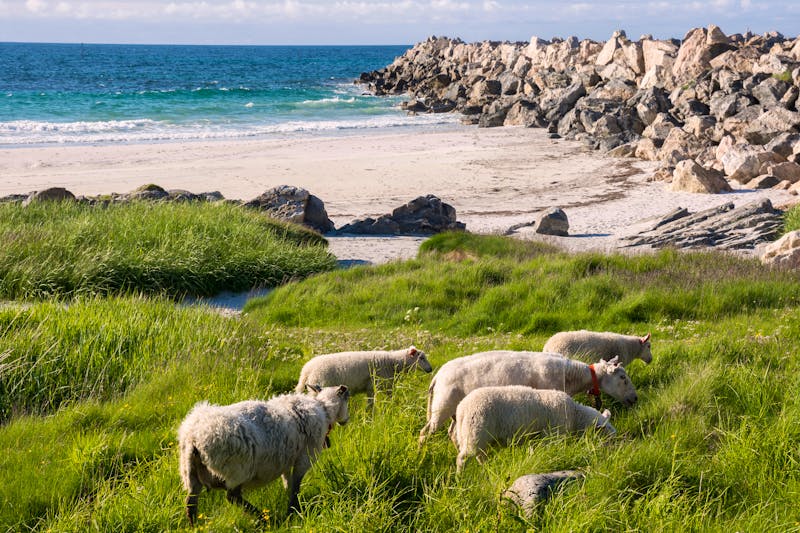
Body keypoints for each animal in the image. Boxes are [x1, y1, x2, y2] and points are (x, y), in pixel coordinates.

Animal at [178, 384, 350, 526]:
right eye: (347, 399)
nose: (346, 420)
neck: (324, 409)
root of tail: (194, 436)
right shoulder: (303, 459)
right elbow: (295, 487)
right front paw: (293, 512)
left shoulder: (287, 460)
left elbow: (288, 483)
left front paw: (290, 506)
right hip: (237, 468)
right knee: (232, 496)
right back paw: (265, 519)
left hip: (190, 471)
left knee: (191, 502)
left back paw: (195, 527)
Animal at [295, 346, 432, 405]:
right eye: (421, 358)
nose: (430, 369)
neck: (392, 362)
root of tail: (306, 370)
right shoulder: (374, 386)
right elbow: (371, 405)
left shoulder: (384, 386)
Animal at [418, 351, 636, 445]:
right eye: (623, 378)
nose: (634, 399)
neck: (572, 376)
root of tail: (437, 376)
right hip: (442, 407)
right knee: (424, 433)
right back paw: (422, 454)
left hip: (456, 412)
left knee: (452, 433)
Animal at [450, 386, 616, 472]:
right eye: (607, 437)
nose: (612, 454)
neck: (576, 417)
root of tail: (461, 409)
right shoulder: (552, 435)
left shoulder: (537, 438)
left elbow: (532, 452)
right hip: (474, 434)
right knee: (462, 458)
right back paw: (460, 477)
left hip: (476, 437)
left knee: (480, 457)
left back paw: (488, 470)